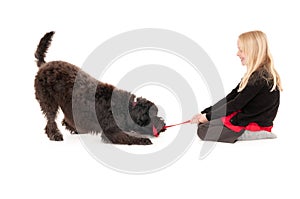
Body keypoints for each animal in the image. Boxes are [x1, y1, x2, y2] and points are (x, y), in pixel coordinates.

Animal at [35, 31, 166, 145]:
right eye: (153, 115)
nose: (163, 125)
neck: (127, 108)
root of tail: (44, 65)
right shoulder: (112, 132)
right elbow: (130, 137)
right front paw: (144, 140)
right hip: (48, 101)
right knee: (50, 120)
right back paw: (55, 135)